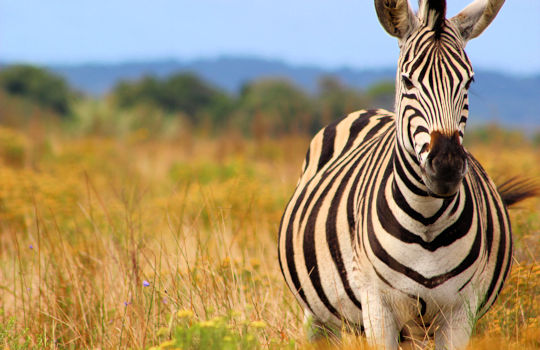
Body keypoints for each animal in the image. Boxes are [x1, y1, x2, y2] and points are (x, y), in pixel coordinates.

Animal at [278, 1, 536, 348]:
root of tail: (368, 111)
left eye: (468, 82)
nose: (447, 166)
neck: (427, 220)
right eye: (408, 81)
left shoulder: (461, 311)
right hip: (318, 315)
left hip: (416, 329)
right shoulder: (377, 305)